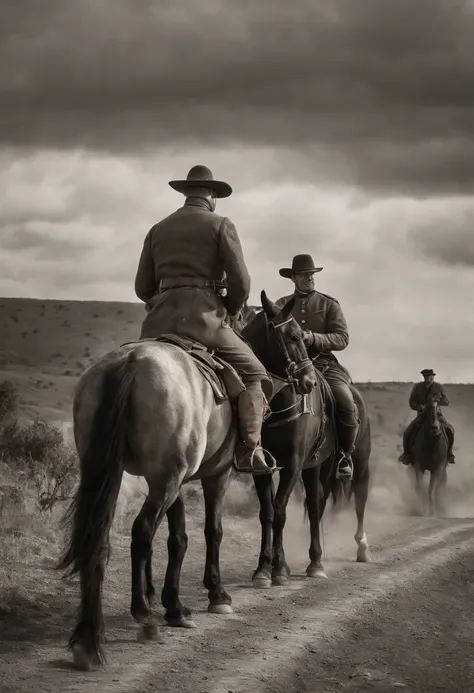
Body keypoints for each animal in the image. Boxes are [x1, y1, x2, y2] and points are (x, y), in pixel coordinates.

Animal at [57, 290, 316, 672]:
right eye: (295, 335)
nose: (310, 380)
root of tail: (131, 362)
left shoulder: (172, 481)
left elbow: (177, 538)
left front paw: (175, 606)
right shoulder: (214, 475)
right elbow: (212, 531)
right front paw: (216, 594)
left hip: (112, 474)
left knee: (98, 540)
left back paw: (90, 639)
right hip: (161, 481)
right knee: (141, 533)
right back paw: (143, 617)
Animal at [241, 306, 370, 588]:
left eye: (301, 336)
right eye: (291, 336)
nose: (309, 382)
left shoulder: (293, 463)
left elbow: (280, 511)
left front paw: (279, 569)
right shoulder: (262, 467)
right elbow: (267, 512)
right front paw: (263, 569)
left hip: (358, 463)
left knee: (357, 498)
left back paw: (356, 549)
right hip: (317, 465)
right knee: (316, 504)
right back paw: (315, 560)